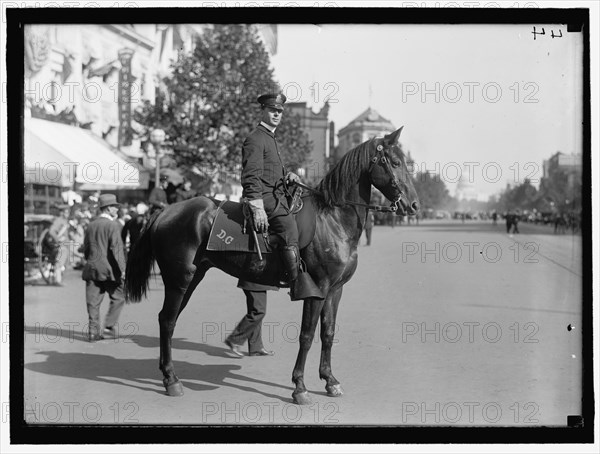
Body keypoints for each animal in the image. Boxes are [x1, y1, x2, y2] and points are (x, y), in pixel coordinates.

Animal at [124, 127, 420, 404]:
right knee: (167, 321)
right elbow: (307, 336)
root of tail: (165, 210)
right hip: (179, 280)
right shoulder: (316, 290)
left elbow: (328, 332)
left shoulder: (335, 290)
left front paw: (330, 380)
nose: (414, 205)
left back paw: (169, 374)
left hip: (192, 278)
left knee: (168, 320)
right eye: (395, 162)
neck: (333, 219)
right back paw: (171, 379)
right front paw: (299, 386)